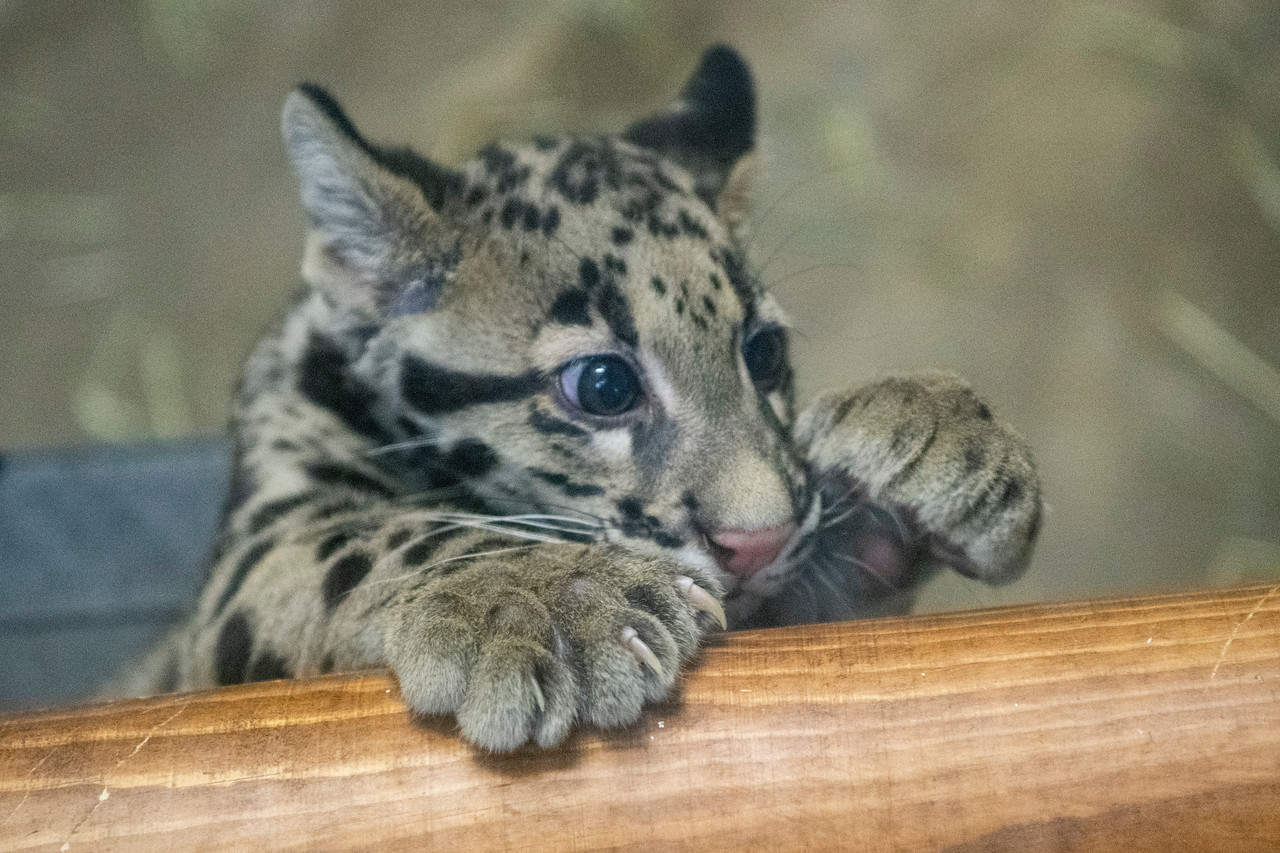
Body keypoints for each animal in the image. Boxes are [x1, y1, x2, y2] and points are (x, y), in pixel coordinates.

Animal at [123, 46, 1042, 752]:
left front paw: (934, 424)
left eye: (765, 352)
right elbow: (373, 534)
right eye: (602, 386)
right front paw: (544, 596)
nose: (760, 539)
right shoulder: (258, 546)